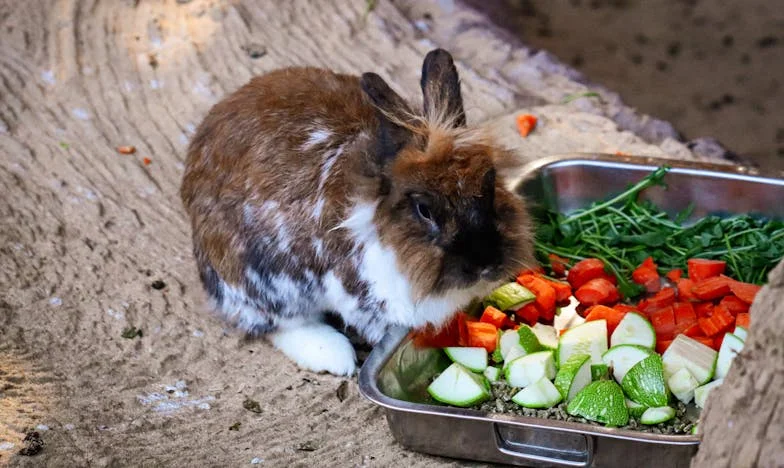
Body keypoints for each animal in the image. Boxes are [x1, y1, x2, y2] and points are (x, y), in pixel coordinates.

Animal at [181, 48, 536, 376]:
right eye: (424, 209)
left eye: (490, 183)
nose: (485, 264)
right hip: (262, 280)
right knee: (276, 323)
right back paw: (335, 357)